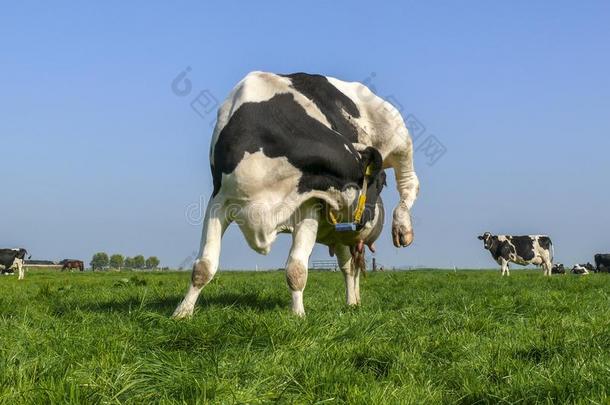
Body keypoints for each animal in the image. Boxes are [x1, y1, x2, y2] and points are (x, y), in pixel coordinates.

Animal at [171, 71, 418, 318]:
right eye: (380, 184)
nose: (368, 221)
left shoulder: (309, 204)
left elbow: (296, 270)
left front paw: (298, 316)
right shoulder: (219, 200)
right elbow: (203, 266)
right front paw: (182, 313)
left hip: (397, 133)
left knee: (409, 181)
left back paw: (402, 227)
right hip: (341, 236)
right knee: (350, 267)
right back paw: (353, 302)